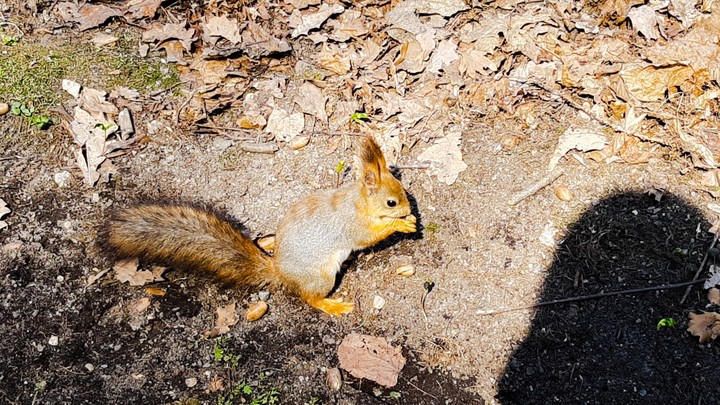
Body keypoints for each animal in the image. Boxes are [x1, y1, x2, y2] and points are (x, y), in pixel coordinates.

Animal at [107, 137, 417, 316]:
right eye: (391, 202)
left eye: (404, 192)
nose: (408, 210)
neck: (358, 202)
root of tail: (279, 271)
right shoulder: (353, 226)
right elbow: (369, 237)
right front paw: (401, 225)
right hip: (321, 277)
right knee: (309, 298)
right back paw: (331, 305)